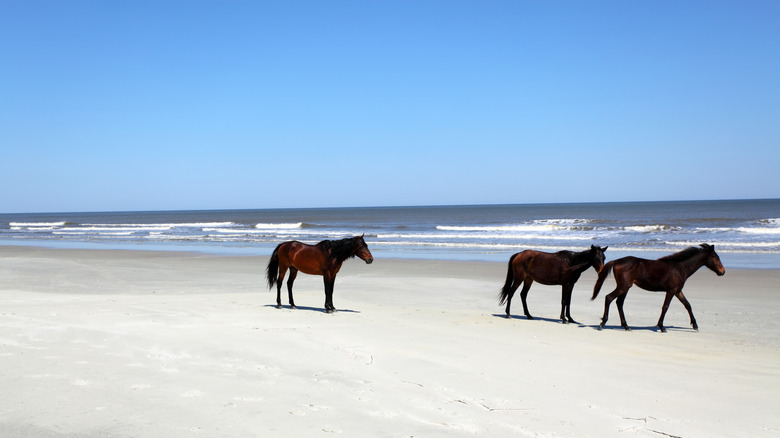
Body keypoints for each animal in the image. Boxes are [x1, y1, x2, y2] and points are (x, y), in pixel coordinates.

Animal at [591, 243, 725, 332]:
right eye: (715, 257)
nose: (722, 272)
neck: (680, 268)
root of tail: (616, 261)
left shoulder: (678, 291)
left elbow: (687, 305)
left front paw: (695, 325)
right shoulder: (671, 291)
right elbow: (665, 307)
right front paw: (661, 326)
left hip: (625, 287)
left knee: (619, 303)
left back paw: (626, 326)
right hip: (623, 287)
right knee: (609, 298)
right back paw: (602, 324)